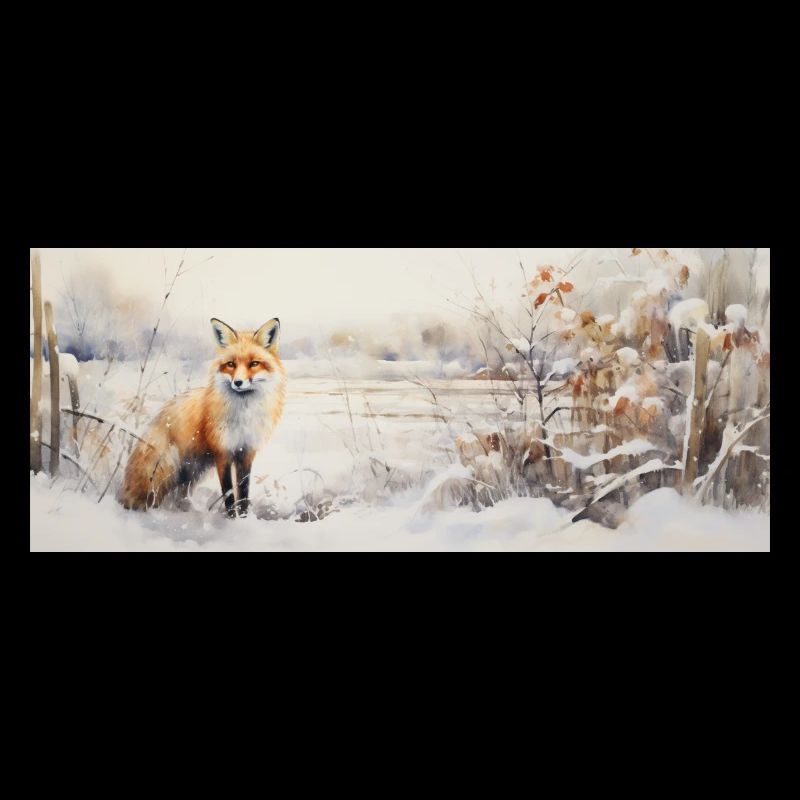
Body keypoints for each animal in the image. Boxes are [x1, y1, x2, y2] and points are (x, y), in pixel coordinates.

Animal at [119, 317, 287, 517]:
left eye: (254, 363)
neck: (243, 414)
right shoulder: (222, 452)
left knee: (180, 493)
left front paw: (244, 517)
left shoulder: (246, 452)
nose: (238, 382)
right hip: (169, 466)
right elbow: (229, 493)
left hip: (194, 469)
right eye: (231, 364)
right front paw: (232, 519)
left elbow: (243, 491)